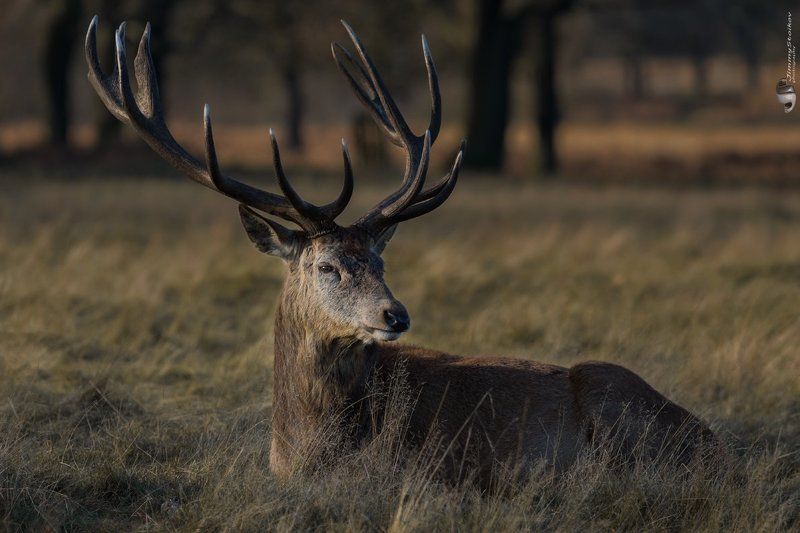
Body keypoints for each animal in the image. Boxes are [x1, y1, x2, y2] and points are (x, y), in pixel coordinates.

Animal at [85, 17, 717, 486]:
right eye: (327, 266)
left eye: (381, 261)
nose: (396, 314)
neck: (303, 447)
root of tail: (716, 444)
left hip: (614, 402)